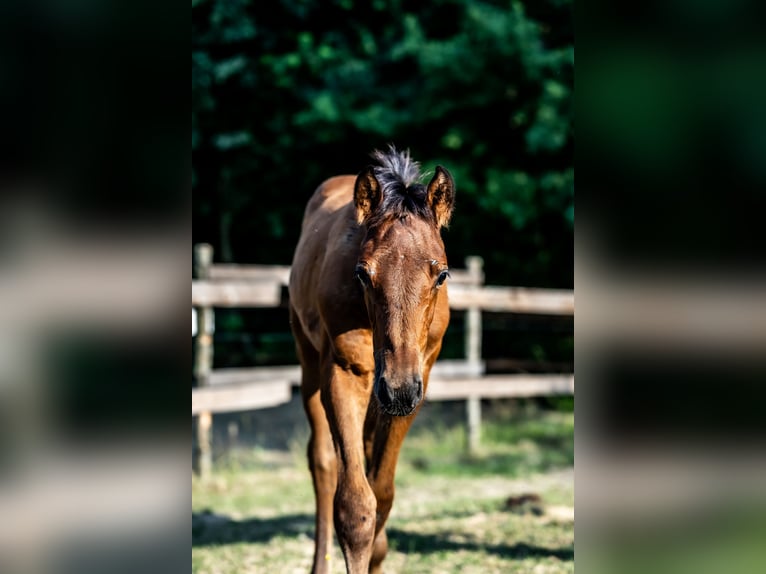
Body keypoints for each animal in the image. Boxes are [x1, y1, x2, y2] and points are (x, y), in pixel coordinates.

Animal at [288, 146, 455, 573]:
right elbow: (355, 506)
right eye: (363, 274)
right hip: (309, 363)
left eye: (441, 274)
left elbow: (382, 494)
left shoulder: (416, 382)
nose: (397, 389)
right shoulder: (346, 374)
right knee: (323, 463)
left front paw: (379, 555)